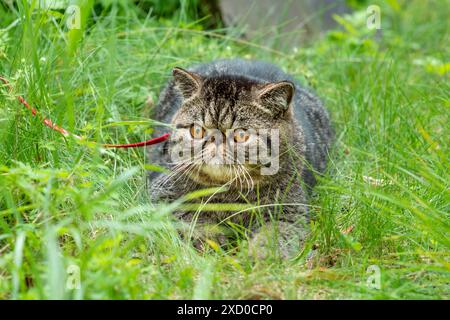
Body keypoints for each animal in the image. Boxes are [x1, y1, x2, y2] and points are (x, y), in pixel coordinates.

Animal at [148, 58, 334, 258]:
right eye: (197, 131)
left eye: (241, 135)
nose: (215, 140)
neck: (227, 194)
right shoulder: (162, 195)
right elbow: (191, 220)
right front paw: (209, 243)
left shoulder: (289, 212)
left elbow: (272, 237)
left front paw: (256, 257)